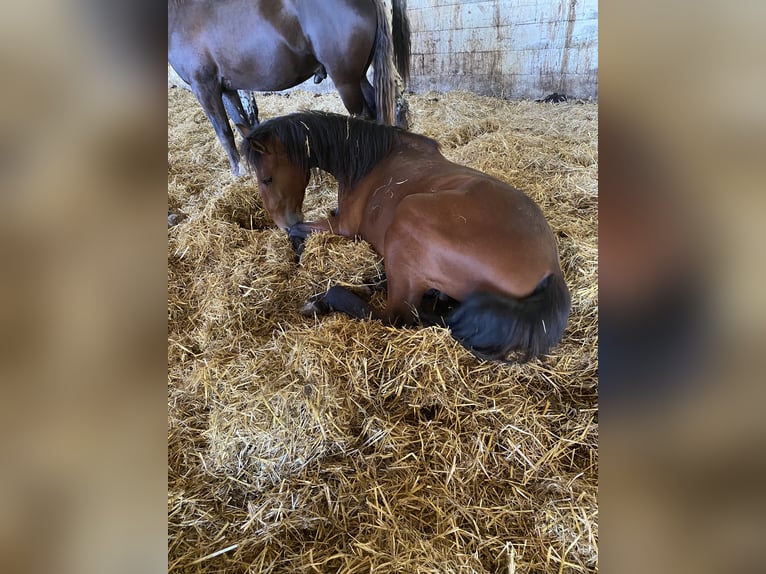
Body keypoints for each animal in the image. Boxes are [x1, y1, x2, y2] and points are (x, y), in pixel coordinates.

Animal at [166, 0, 412, 176]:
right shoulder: (227, 88)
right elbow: (240, 122)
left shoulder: (204, 87)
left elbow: (223, 132)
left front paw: (238, 173)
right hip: (358, 76)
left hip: (346, 80)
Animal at [240, 112, 568, 360]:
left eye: (267, 178)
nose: (283, 222)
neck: (370, 160)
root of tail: (550, 271)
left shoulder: (343, 227)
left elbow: (301, 233)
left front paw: (298, 252)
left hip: (407, 220)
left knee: (395, 315)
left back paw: (323, 300)